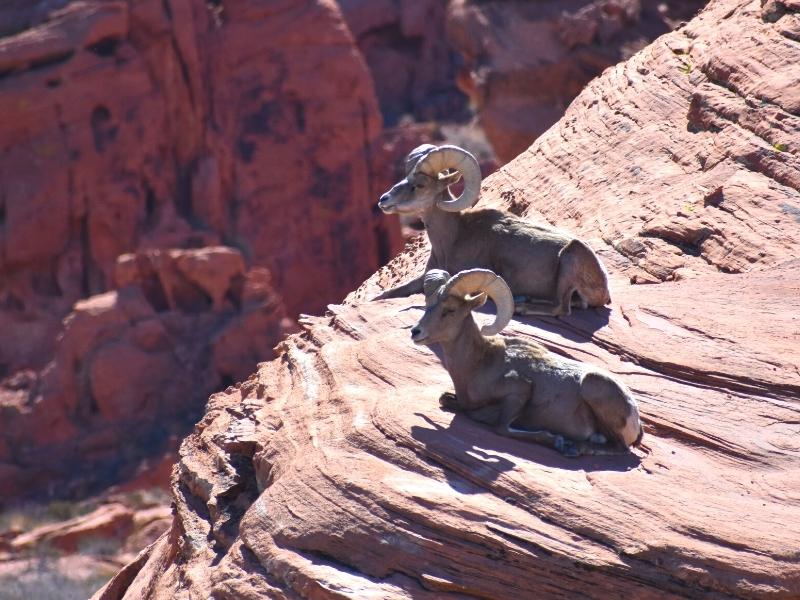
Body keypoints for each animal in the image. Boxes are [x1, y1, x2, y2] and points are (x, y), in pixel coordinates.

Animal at [378, 145, 608, 316]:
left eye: (420, 185)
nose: (383, 200)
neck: (453, 238)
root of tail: (605, 288)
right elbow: (385, 295)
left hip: (571, 257)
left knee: (561, 308)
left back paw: (522, 305)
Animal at [412, 268, 644, 454]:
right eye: (427, 305)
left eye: (449, 310)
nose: (416, 332)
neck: (479, 363)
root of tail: (636, 419)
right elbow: (446, 399)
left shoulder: (520, 390)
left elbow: (501, 427)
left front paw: (554, 439)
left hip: (593, 385)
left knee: (620, 448)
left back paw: (573, 448)